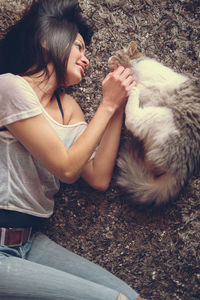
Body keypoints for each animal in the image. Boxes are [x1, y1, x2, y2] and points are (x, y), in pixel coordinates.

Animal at [108, 41, 200, 206]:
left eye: (116, 54)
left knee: (132, 121)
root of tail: (183, 170)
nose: (107, 60)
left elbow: (140, 86)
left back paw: (132, 92)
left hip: (160, 116)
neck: (137, 65)